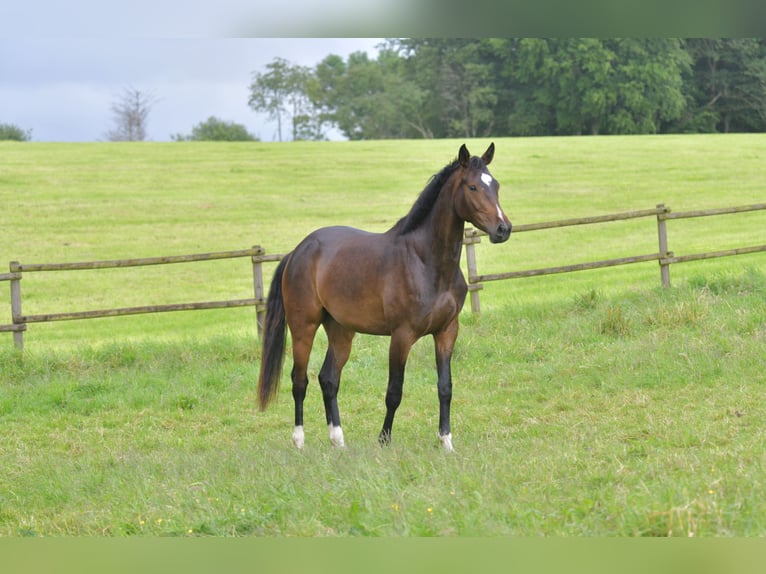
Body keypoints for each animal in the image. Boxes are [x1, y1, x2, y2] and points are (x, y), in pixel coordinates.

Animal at [255, 142, 512, 452]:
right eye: (473, 187)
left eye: (495, 185)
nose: (503, 229)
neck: (426, 262)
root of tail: (298, 251)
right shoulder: (401, 336)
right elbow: (394, 391)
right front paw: (384, 439)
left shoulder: (447, 331)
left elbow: (445, 388)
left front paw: (446, 441)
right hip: (303, 326)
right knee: (299, 380)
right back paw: (299, 441)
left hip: (341, 330)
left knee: (329, 379)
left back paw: (338, 441)